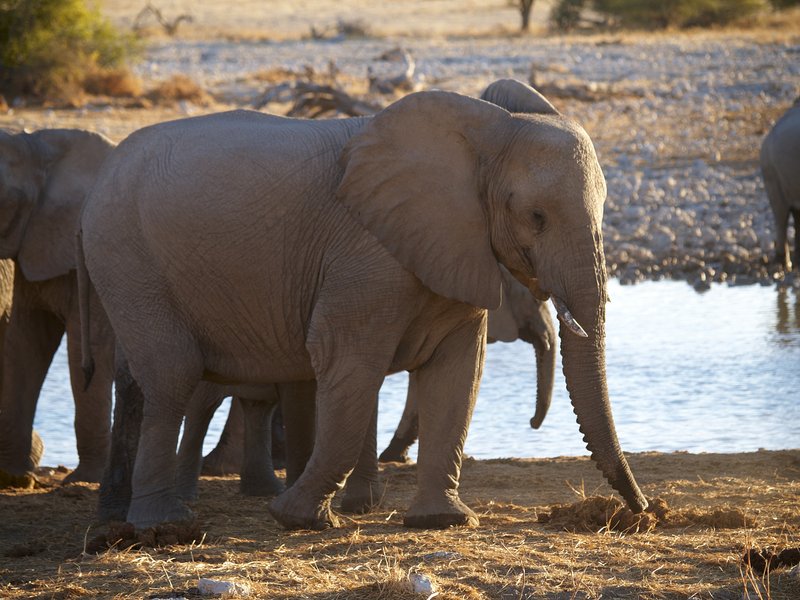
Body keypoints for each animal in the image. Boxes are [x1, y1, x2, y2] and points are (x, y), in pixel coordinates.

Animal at [78, 84, 648, 531]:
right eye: (536, 217)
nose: (640, 509)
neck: (487, 129)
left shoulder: (451, 246)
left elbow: (458, 373)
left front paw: (439, 521)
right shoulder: (364, 254)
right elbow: (351, 366)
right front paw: (295, 518)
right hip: (127, 255)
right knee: (173, 374)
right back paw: (165, 527)